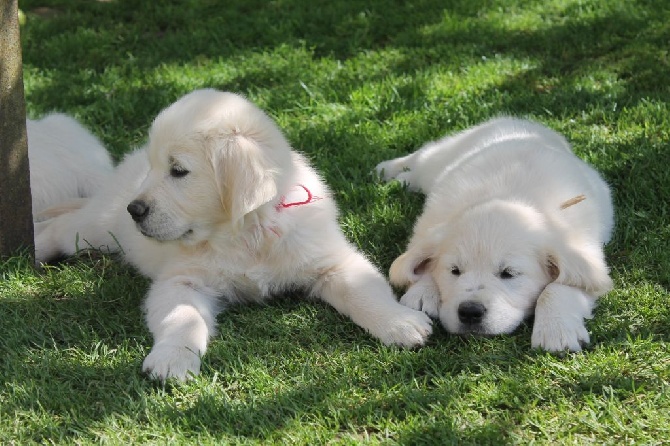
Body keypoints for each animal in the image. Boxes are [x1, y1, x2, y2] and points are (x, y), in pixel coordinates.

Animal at [36, 89, 434, 380]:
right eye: (155, 167)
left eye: (178, 170)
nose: (136, 209)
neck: (245, 233)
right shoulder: (182, 280)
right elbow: (182, 316)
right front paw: (172, 359)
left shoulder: (330, 258)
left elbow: (362, 291)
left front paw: (400, 323)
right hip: (101, 227)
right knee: (63, 228)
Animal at [376, 117, 616, 352]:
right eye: (455, 271)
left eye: (508, 273)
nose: (470, 312)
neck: (506, 198)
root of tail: (522, 122)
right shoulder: (428, 225)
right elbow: (419, 257)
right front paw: (423, 292)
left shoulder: (586, 257)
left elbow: (561, 285)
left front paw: (555, 329)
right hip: (442, 157)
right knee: (423, 156)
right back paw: (387, 170)